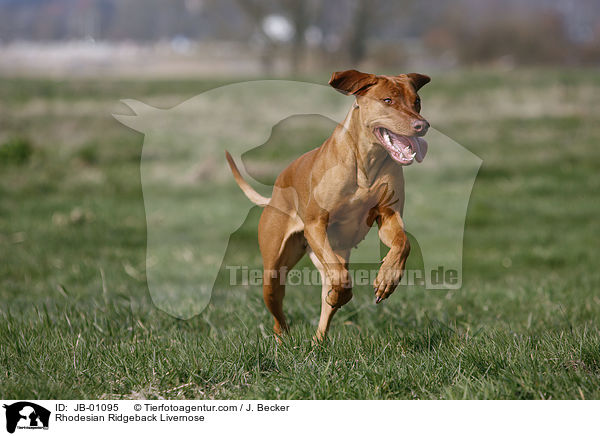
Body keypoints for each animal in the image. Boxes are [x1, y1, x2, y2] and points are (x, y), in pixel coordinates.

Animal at [224, 69, 426, 340]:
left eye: (417, 101)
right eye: (387, 100)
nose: (422, 125)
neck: (366, 161)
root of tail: (274, 194)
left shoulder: (388, 216)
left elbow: (402, 244)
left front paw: (387, 279)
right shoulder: (315, 225)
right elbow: (341, 277)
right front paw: (344, 293)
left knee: (326, 297)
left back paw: (317, 340)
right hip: (274, 270)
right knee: (279, 309)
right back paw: (284, 338)